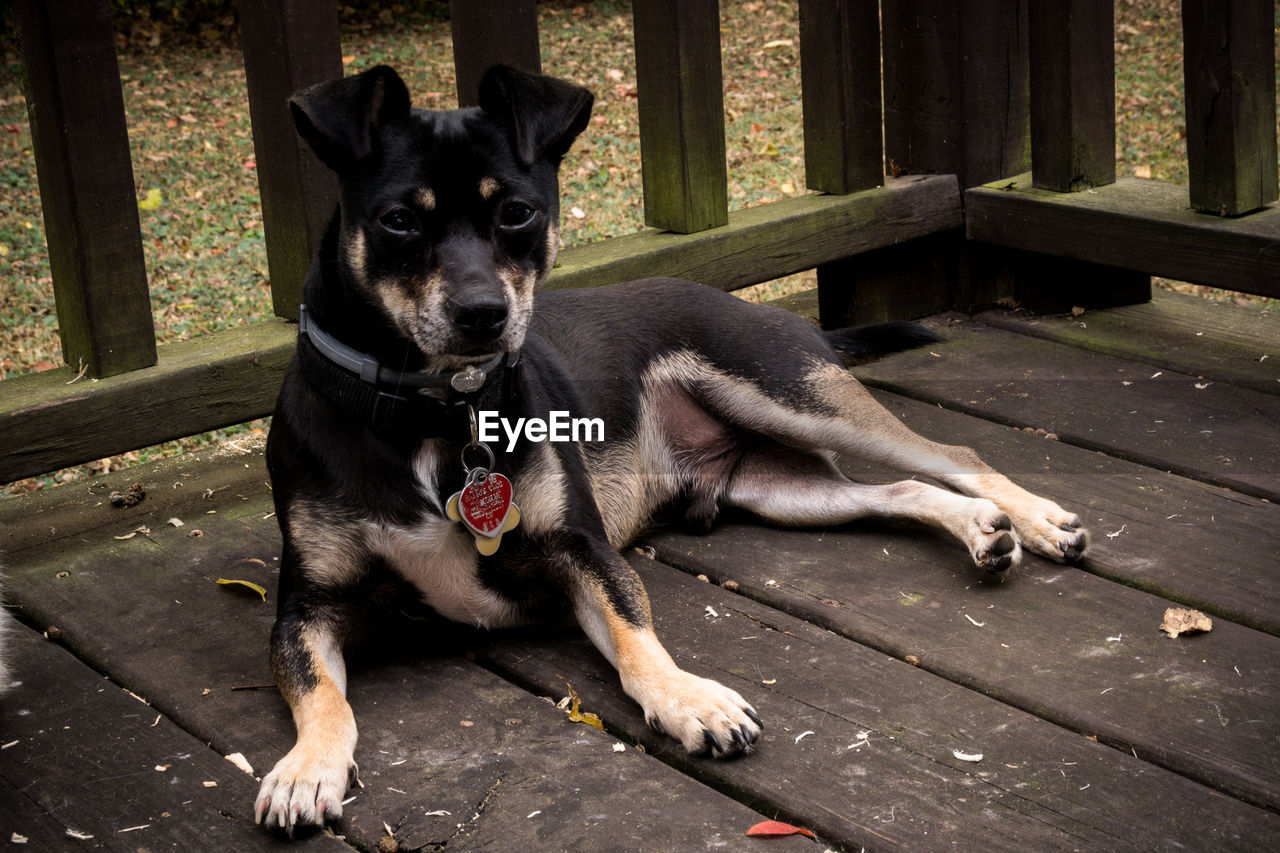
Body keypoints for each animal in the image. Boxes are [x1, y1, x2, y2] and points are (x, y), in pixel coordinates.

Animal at [252, 64, 1090, 829]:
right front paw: (305, 767)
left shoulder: (581, 548)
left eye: (518, 213)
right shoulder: (307, 605)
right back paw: (982, 530)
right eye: (398, 221)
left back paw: (1040, 519)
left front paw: (689, 698)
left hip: (796, 396)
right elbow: (320, 691)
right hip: (785, 489)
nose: (484, 313)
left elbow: (635, 633)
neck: (432, 413)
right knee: (898, 490)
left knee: (953, 453)